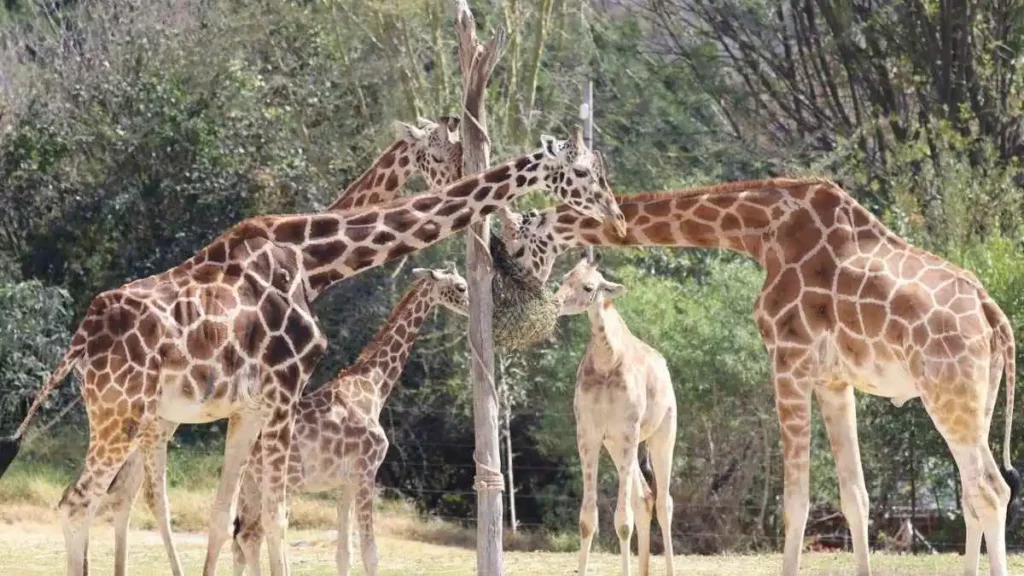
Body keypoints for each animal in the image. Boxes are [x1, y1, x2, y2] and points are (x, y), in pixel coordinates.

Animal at [228, 264, 468, 573]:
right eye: (461, 287)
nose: (471, 306)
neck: (375, 386)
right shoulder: (367, 471)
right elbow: (370, 550)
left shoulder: (346, 481)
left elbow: (345, 552)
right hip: (279, 483)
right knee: (261, 532)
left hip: (249, 485)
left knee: (244, 539)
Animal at [557, 250, 675, 573]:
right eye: (564, 278)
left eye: (588, 287)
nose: (555, 303)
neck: (607, 360)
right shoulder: (588, 433)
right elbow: (587, 521)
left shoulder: (629, 430)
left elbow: (623, 522)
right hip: (617, 444)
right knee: (645, 498)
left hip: (661, 434)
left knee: (664, 502)